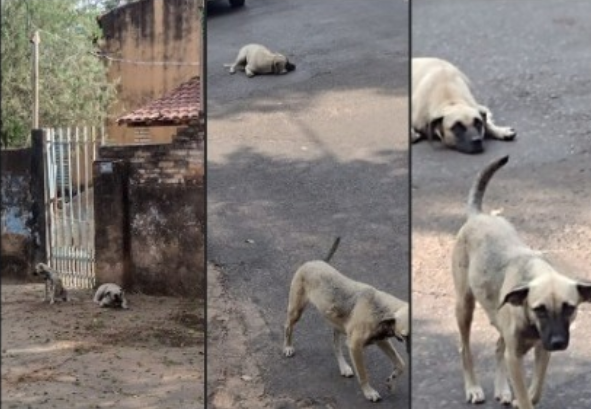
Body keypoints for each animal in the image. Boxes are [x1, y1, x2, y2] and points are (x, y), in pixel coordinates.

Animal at [284, 237, 410, 400]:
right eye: (406, 335)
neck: (381, 309)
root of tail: (315, 261)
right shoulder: (355, 346)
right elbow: (363, 374)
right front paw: (369, 392)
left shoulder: (382, 341)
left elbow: (401, 364)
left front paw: (391, 382)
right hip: (296, 311)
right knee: (288, 326)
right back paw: (287, 347)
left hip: (337, 324)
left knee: (335, 345)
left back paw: (344, 367)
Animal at [454, 155, 591, 406]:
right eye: (539, 309)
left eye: (569, 308)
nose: (558, 342)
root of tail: (478, 215)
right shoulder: (515, 358)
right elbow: (526, 396)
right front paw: (521, 400)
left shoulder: (542, 351)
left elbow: (534, 391)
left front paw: (522, 397)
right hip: (464, 306)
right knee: (465, 349)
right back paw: (473, 388)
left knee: (498, 347)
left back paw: (502, 389)